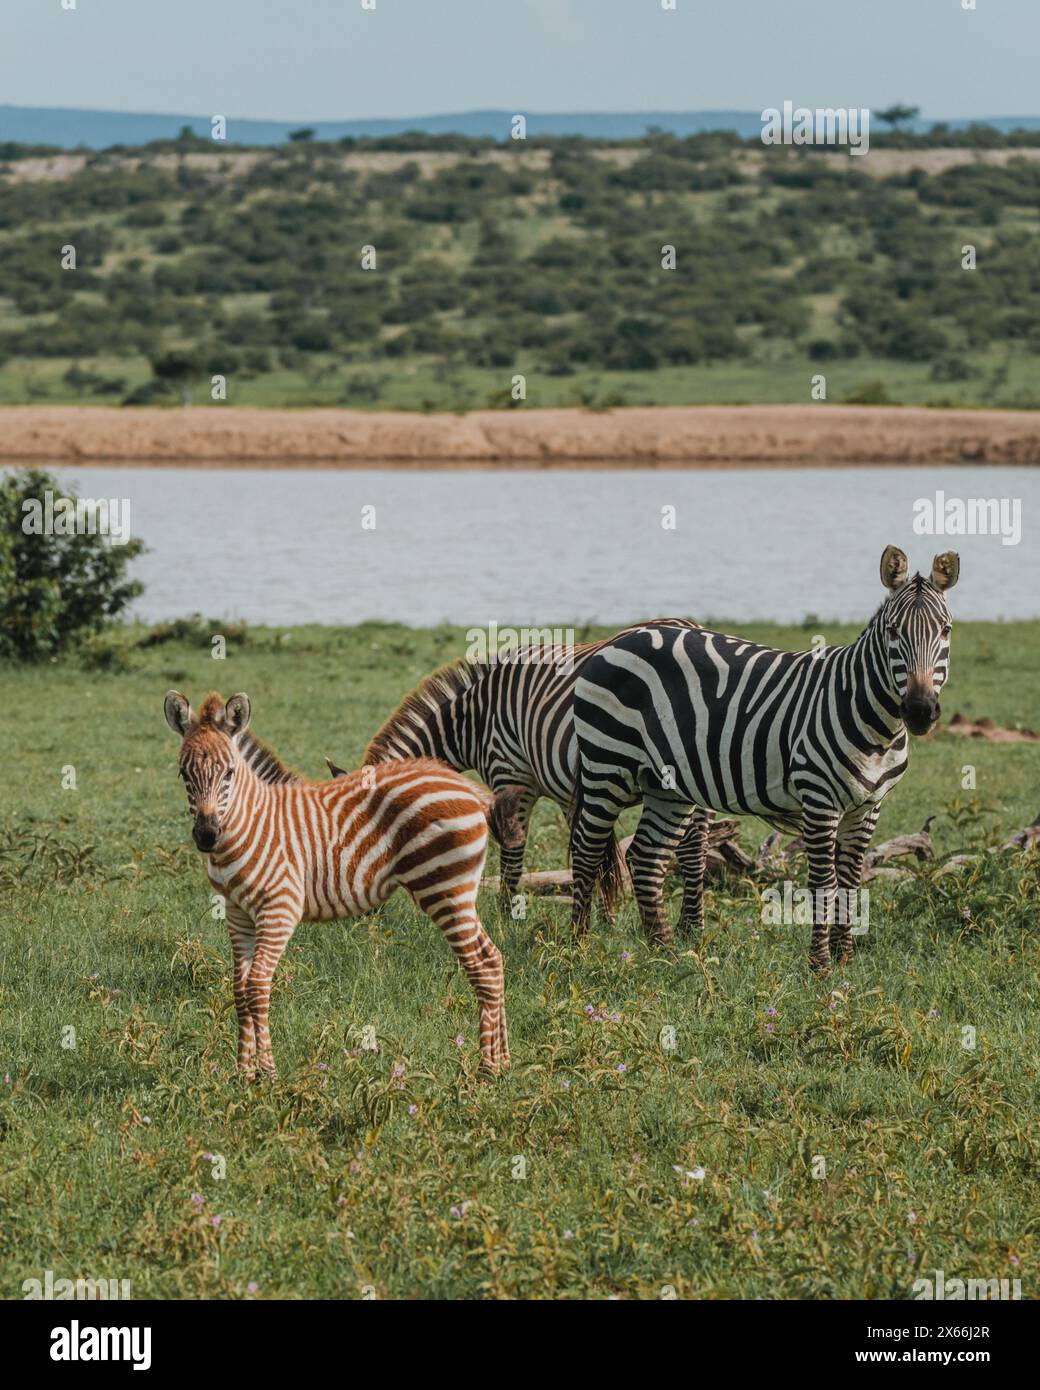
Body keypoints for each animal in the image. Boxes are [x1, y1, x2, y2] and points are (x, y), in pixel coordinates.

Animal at [162, 692, 508, 1073]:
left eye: (229, 773)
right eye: (183, 773)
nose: (207, 835)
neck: (251, 824)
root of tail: (466, 786)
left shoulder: (279, 909)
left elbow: (257, 986)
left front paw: (266, 1072)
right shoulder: (237, 913)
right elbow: (239, 989)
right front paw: (243, 1072)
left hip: (445, 889)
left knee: (480, 966)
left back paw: (486, 1068)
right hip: (456, 893)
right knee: (493, 959)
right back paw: (503, 1061)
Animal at [358, 622, 706, 911]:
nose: (365, 918)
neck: (473, 724)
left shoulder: (510, 775)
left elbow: (514, 849)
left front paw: (506, 916)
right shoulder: (568, 792)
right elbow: (595, 851)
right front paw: (604, 916)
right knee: (694, 848)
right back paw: (689, 931)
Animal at [570, 544, 956, 967]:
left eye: (946, 630)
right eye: (892, 632)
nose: (919, 711)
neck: (875, 728)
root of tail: (621, 637)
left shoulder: (869, 806)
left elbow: (852, 881)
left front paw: (844, 959)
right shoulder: (819, 798)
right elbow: (823, 882)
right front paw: (820, 964)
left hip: (666, 785)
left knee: (647, 857)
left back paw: (663, 950)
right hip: (606, 765)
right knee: (586, 850)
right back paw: (577, 945)